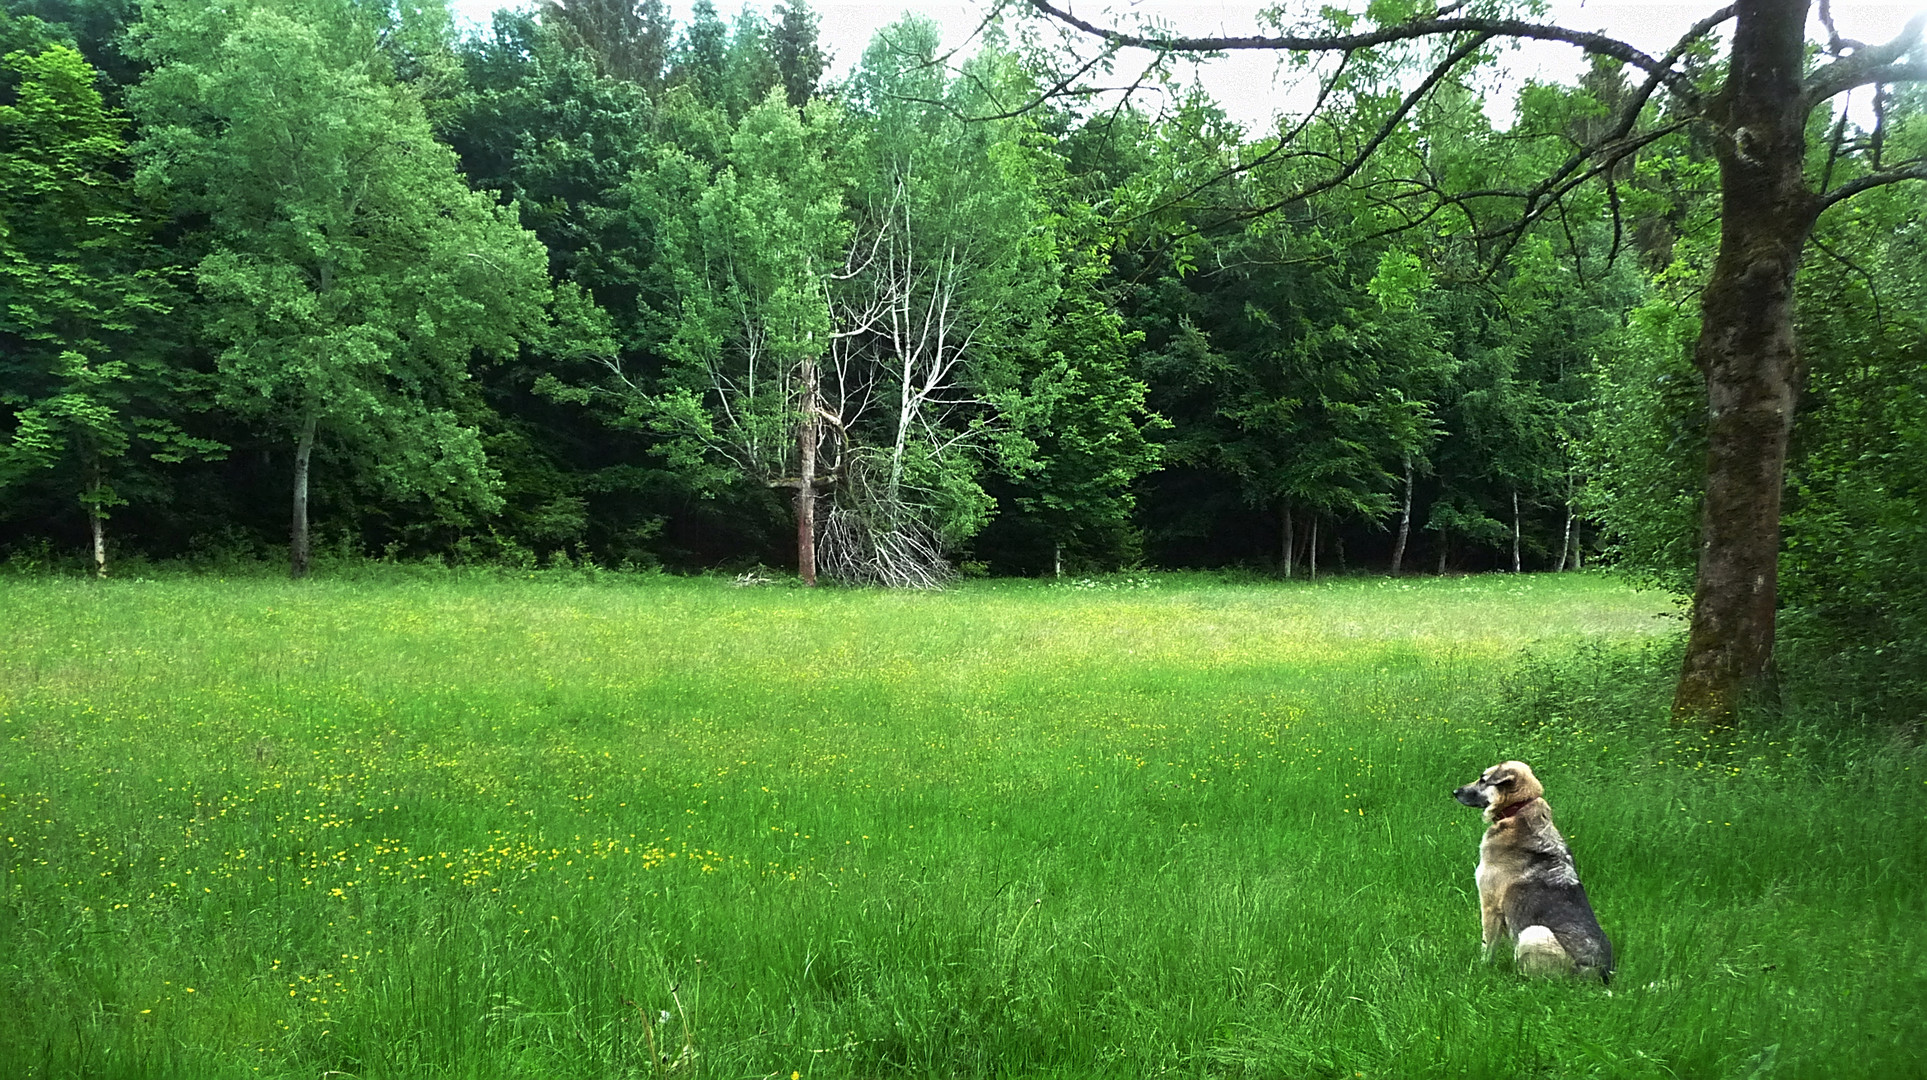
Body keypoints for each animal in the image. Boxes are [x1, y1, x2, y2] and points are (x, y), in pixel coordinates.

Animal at [1456, 759, 1610, 987]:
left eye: (1483, 780)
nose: (1455, 791)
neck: (1519, 808)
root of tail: (1601, 975)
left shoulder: (1490, 905)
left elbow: (1487, 944)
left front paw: (1481, 968)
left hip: (1534, 933)